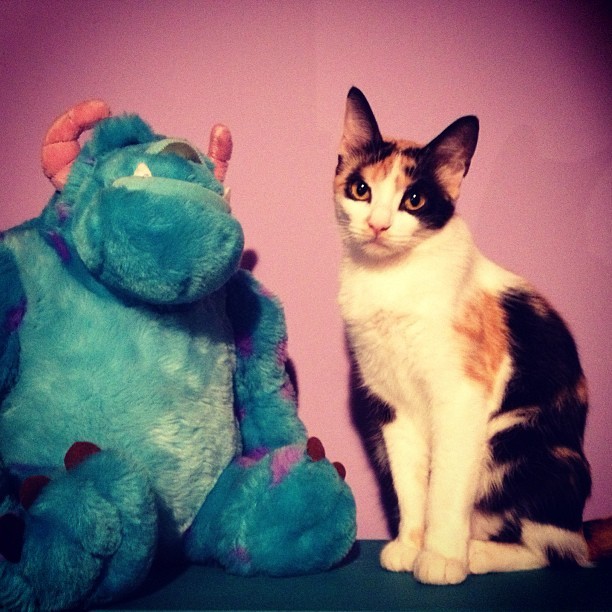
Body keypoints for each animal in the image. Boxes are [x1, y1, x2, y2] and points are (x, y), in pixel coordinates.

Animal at [334, 86, 594, 585]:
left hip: (519, 443)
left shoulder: (462, 396)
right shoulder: (393, 404)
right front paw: (410, 545)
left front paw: (440, 557)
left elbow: (445, 486)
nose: (377, 224)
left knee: (557, 550)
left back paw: (476, 554)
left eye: (414, 200)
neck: (392, 279)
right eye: (361, 190)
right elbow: (411, 484)